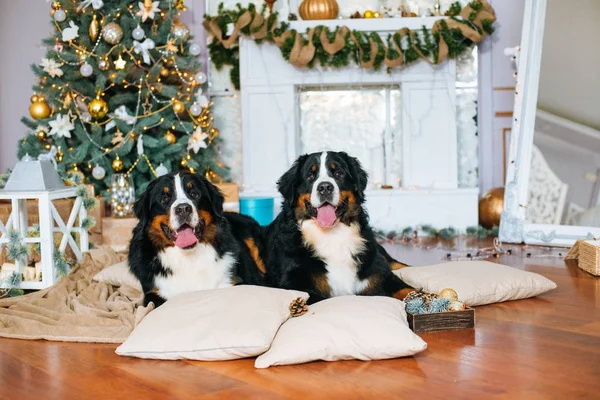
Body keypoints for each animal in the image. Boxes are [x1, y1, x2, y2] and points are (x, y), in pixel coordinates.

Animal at [266, 152, 412, 304]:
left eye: (339, 173)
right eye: (310, 176)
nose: (325, 187)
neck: (333, 234)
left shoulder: (379, 271)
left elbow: (407, 289)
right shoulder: (295, 283)